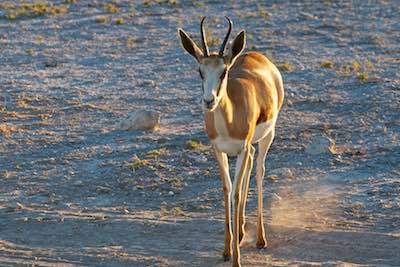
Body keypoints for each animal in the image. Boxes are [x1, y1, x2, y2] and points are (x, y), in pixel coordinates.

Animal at [178, 17, 284, 267]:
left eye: (223, 71)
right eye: (200, 71)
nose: (209, 101)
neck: (229, 117)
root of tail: (256, 55)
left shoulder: (242, 148)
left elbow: (235, 193)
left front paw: (237, 258)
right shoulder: (218, 150)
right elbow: (227, 189)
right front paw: (227, 250)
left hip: (267, 137)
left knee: (259, 171)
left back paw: (260, 239)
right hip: (247, 147)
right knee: (251, 165)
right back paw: (243, 231)